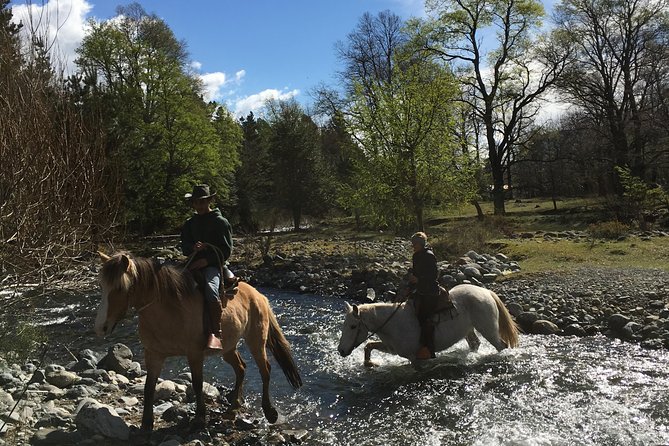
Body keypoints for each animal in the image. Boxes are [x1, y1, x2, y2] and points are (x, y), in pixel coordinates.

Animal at [94, 254, 302, 432]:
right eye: (102, 286)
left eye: (120, 288)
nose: (101, 327)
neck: (169, 310)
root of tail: (259, 296)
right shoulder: (153, 354)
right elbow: (149, 388)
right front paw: (146, 423)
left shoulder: (194, 354)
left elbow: (197, 383)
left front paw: (200, 418)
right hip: (228, 347)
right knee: (241, 368)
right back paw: (234, 404)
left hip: (256, 340)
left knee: (265, 369)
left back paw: (270, 412)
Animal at [336, 284, 520, 364]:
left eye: (353, 326)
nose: (341, 351)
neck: (393, 324)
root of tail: (486, 292)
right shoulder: (391, 349)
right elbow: (369, 346)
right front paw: (370, 365)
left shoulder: (414, 357)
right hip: (469, 330)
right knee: (475, 343)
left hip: (488, 329)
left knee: (501, 346)